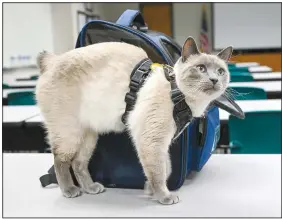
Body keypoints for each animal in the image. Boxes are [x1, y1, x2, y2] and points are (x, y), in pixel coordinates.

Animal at [35, 36, 231, 205]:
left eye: (221, 71)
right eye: (201, 68)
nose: (214, 80)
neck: (183, 97)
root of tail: (52, 61)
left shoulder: (162, 143)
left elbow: (165, 169)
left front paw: (149, 190)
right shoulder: (152, 141)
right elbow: (159, 173)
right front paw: (164, 196)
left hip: (89, 136)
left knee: (78, 163)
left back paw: (91, 187)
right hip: (70, 132)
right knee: (60, 160)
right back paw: (69, 190)